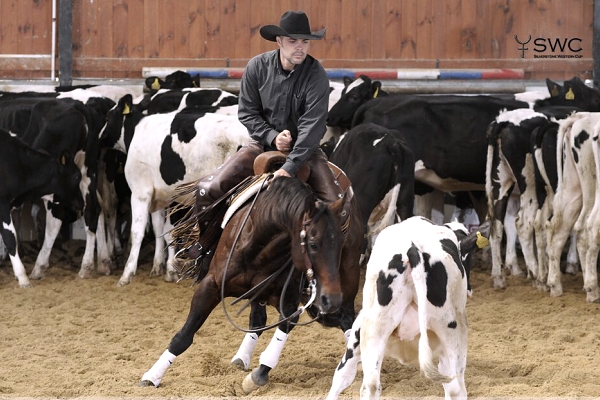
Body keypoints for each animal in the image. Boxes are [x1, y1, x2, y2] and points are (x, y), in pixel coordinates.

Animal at [98, 95, 248, 286]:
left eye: (107, 118)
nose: (98, 138)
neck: (138, 131)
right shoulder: (164, 196)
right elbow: (163, 230)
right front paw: (162, 267)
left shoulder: (140, 192)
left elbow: (137, 232)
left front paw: (127, 274)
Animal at [140, 170, 364, 394]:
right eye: (313, 244)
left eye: (339, 244)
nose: (330, 300)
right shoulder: (210, 286)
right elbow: (184, 336)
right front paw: (152, 376)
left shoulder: (288, 300)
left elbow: (283, 330)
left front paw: (258, 375)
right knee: (257, 320)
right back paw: (242, 357)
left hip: (347, 283)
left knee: (348, 321)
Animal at [324, 216, 488, 400]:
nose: (470, 290)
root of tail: (412, 248)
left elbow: (342, 375)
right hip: (451, 331)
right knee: (455, 388)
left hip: (376, 328)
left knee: (371, 385)